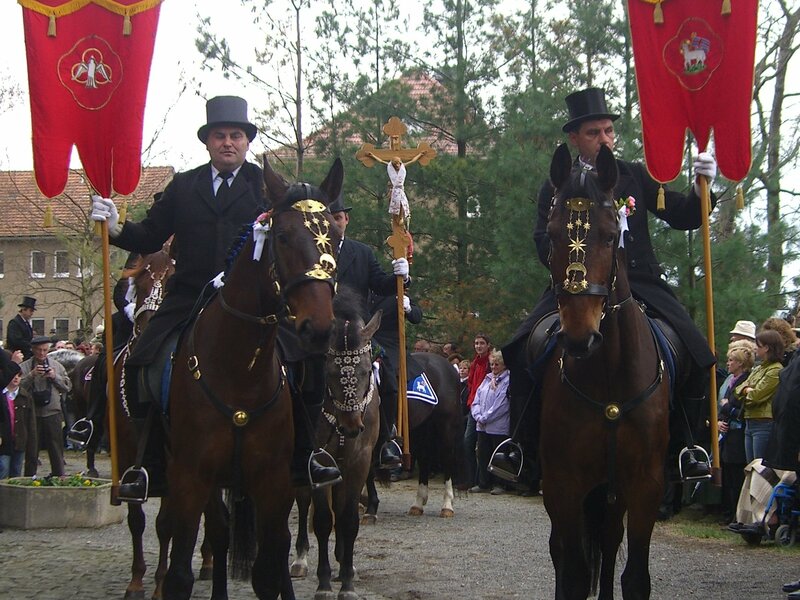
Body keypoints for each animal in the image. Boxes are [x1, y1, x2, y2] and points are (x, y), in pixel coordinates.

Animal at [161, 158, 342, 600]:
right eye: (282, 236)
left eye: (335, 236)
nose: (319, 329)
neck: (239, 369)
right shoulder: (191, 479)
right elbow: (180, 574)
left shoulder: (273, 481)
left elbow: (267, 573)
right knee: (219, 533)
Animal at [290, 288, 382, 600]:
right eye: (329, 371)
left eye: (365, 370)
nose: (351, 428)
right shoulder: (321, 459)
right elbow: (322, 520)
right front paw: (324, 583)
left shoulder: (358, 462)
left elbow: (348, 520)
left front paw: (348, 581)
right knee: (304, 502)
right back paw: (300, 559)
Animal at [536, 145, 672, 600]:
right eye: (552, 235)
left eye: (612, 236)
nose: (580, 337)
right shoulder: (563, 484)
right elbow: (575, 575)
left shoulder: (645, 485)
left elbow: (635, 578)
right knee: (563, 552)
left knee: (610, 544)